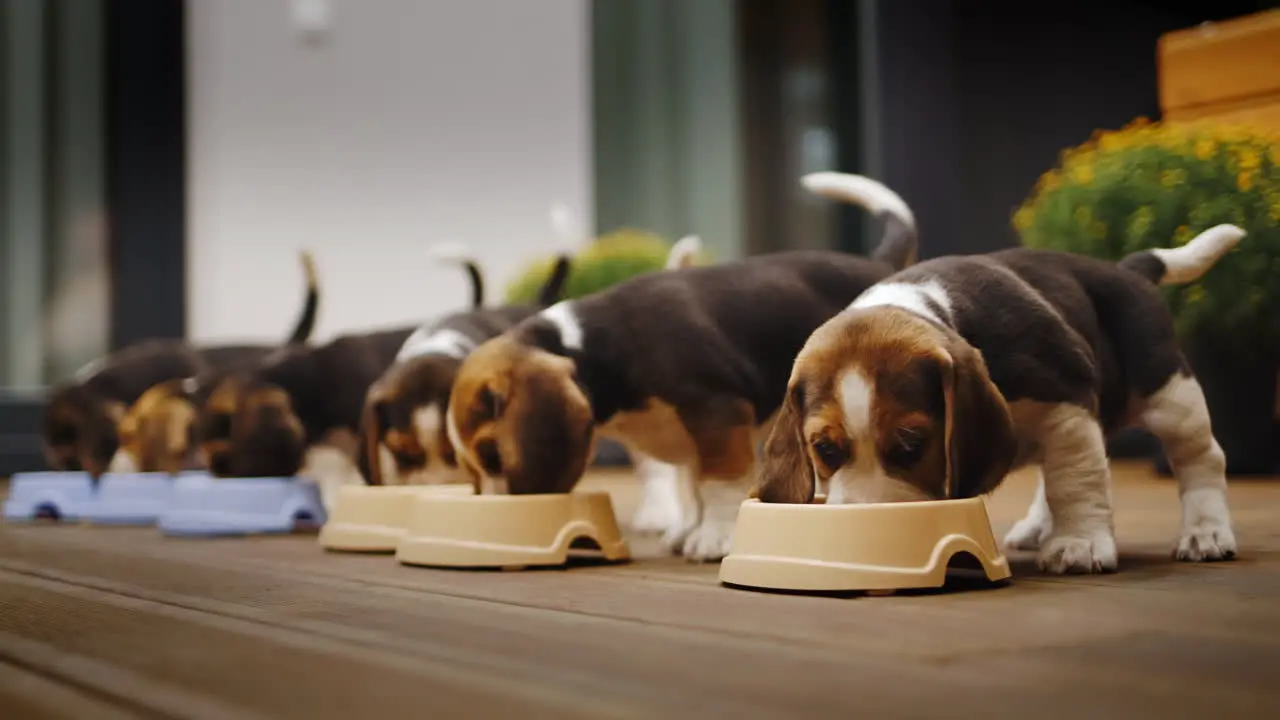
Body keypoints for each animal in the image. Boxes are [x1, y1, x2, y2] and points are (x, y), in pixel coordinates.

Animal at [448, 170, 921, 558]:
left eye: (493, 456)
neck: (590, 345)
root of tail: (877, 262)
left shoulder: (716, 415)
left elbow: (718, 484)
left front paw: (714, 538)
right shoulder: (693, 439)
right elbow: (693, 487)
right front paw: (690, 528)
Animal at [752, 224, 1244, 571]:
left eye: (912, 444)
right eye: (825, 449)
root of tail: (1124, 270)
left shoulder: (1066, 398)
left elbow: (1076, 482)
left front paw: (1080, 543)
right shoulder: (1068, 420)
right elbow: (1067, 475)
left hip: (1170, 394)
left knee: (1200, 458)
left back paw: (1205, 532)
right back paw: (1036, 526)